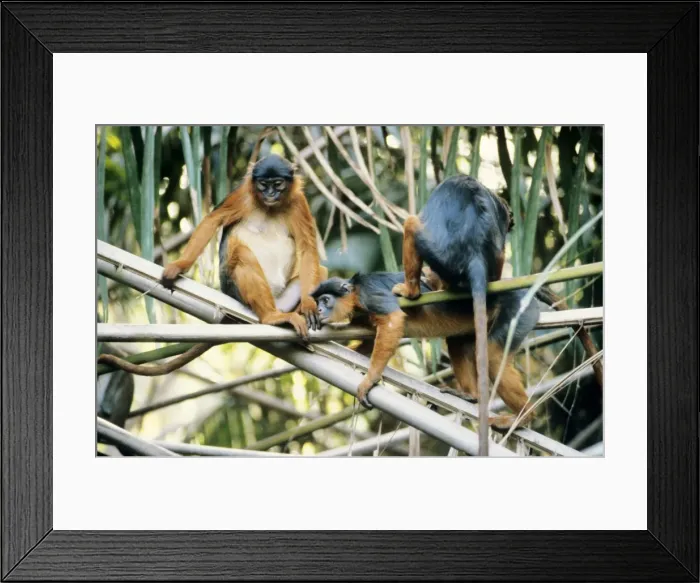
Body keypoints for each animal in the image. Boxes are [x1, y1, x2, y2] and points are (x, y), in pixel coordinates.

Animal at [98, 154, 326, 376]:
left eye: (278, 184)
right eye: (263, 184)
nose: (270, 193)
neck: (270, 208)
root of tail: (276, 304)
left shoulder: (298, 202)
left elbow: (307, 249)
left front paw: (308, 304)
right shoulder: (242, 195)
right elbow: (213, 219)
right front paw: (180, 265)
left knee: (320, 270)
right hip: (235, 290)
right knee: (242, 255)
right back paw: (272, 318)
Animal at [311, 271, 541, 429]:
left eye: (325, 300)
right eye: (318, 302)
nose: (319, 309)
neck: (356, 294)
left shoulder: (370, 291)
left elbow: (393, 321)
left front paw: (369, 380)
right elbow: (368, 344)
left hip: (520, 308)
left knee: (492, 354)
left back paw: (524, 416)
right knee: (456, 342)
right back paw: (471, 396)